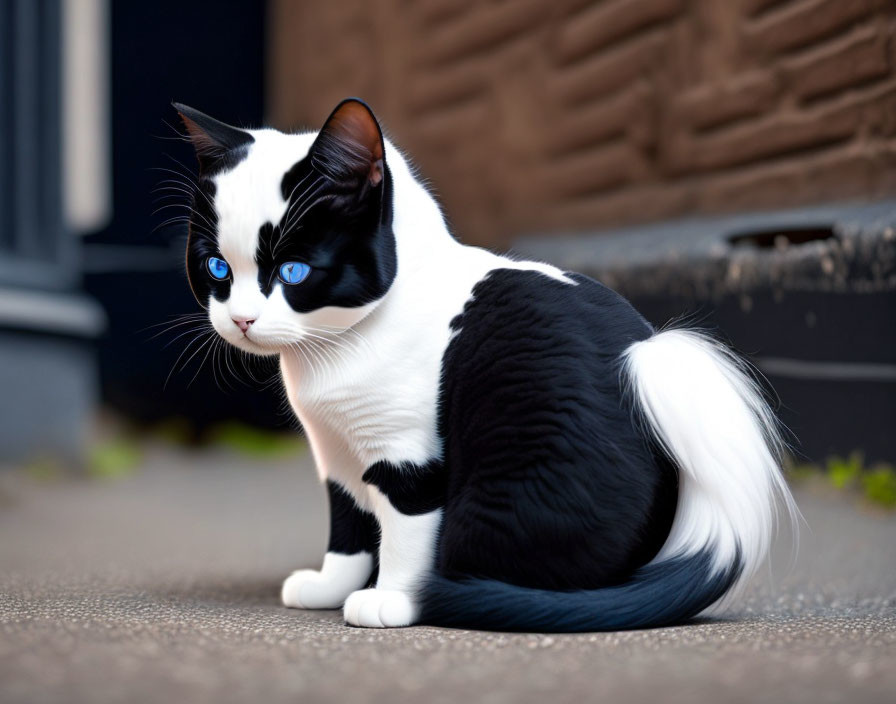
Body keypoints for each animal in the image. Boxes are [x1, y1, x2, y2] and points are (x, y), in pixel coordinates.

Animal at [177, 99, 800, 632]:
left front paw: (391, 599)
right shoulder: (337, 457)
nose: (242, 320)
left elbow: (403, 533)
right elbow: (348, 528)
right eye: (216, 268)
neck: (330, 354)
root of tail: (648, 350)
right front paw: (332, 586)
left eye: (294, 273)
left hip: (501, 495)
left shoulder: (406, 458)